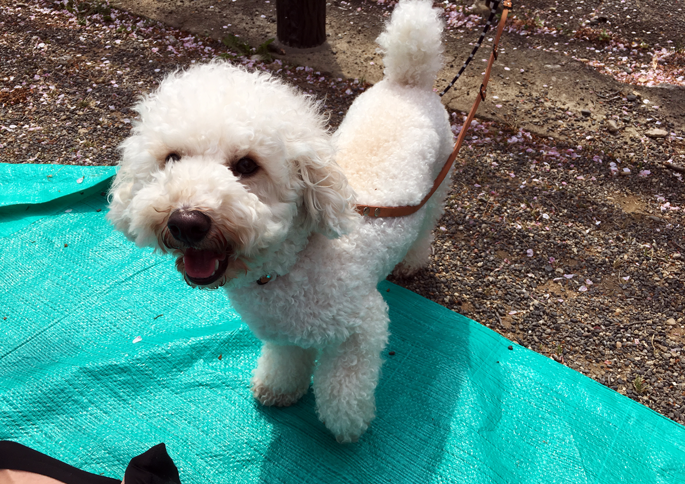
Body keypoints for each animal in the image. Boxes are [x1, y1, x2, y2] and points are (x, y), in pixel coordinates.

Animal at [109, 0, 454, 442]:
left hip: (439, 182)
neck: (289, 266)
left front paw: (347, 425)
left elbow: (344, 385)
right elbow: (287, 359)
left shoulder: (363, 328)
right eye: (172, 158)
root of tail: (406, 82)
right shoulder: (282, 332)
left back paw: (411, 262)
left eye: (247, 165)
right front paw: (279, 389)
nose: (186, 221)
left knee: (426, 228)